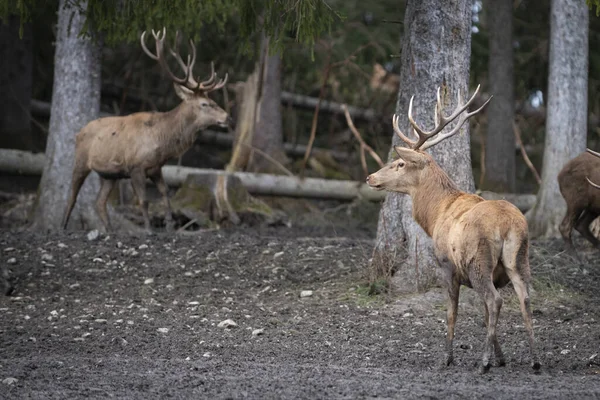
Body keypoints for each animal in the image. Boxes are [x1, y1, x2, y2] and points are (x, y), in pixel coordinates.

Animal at [61, 28, 230, 233]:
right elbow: (144, 200)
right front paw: (149, 229)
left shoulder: (156, 168)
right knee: (71, 196)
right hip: (81, 161)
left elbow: (165, 194)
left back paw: (110, 230)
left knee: (99, 201)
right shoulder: (136, 167)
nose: (227, 117)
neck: (163, 142)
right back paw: (62, 227)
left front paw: (170, 225)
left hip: (110, 174)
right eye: (204, 104)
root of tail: (78, 133)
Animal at [366, 86, 540, 374]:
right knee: (524, 299)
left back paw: (483, 363)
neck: (435, 215)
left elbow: (452, 312)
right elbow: (483, 315)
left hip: (478, 260)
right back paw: (535, 359)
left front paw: (447, 357)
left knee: (495, 300)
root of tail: (506, 225)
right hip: (519, 257)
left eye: (400, 164)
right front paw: (501, 357)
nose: (370, 177)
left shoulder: (446, 264)